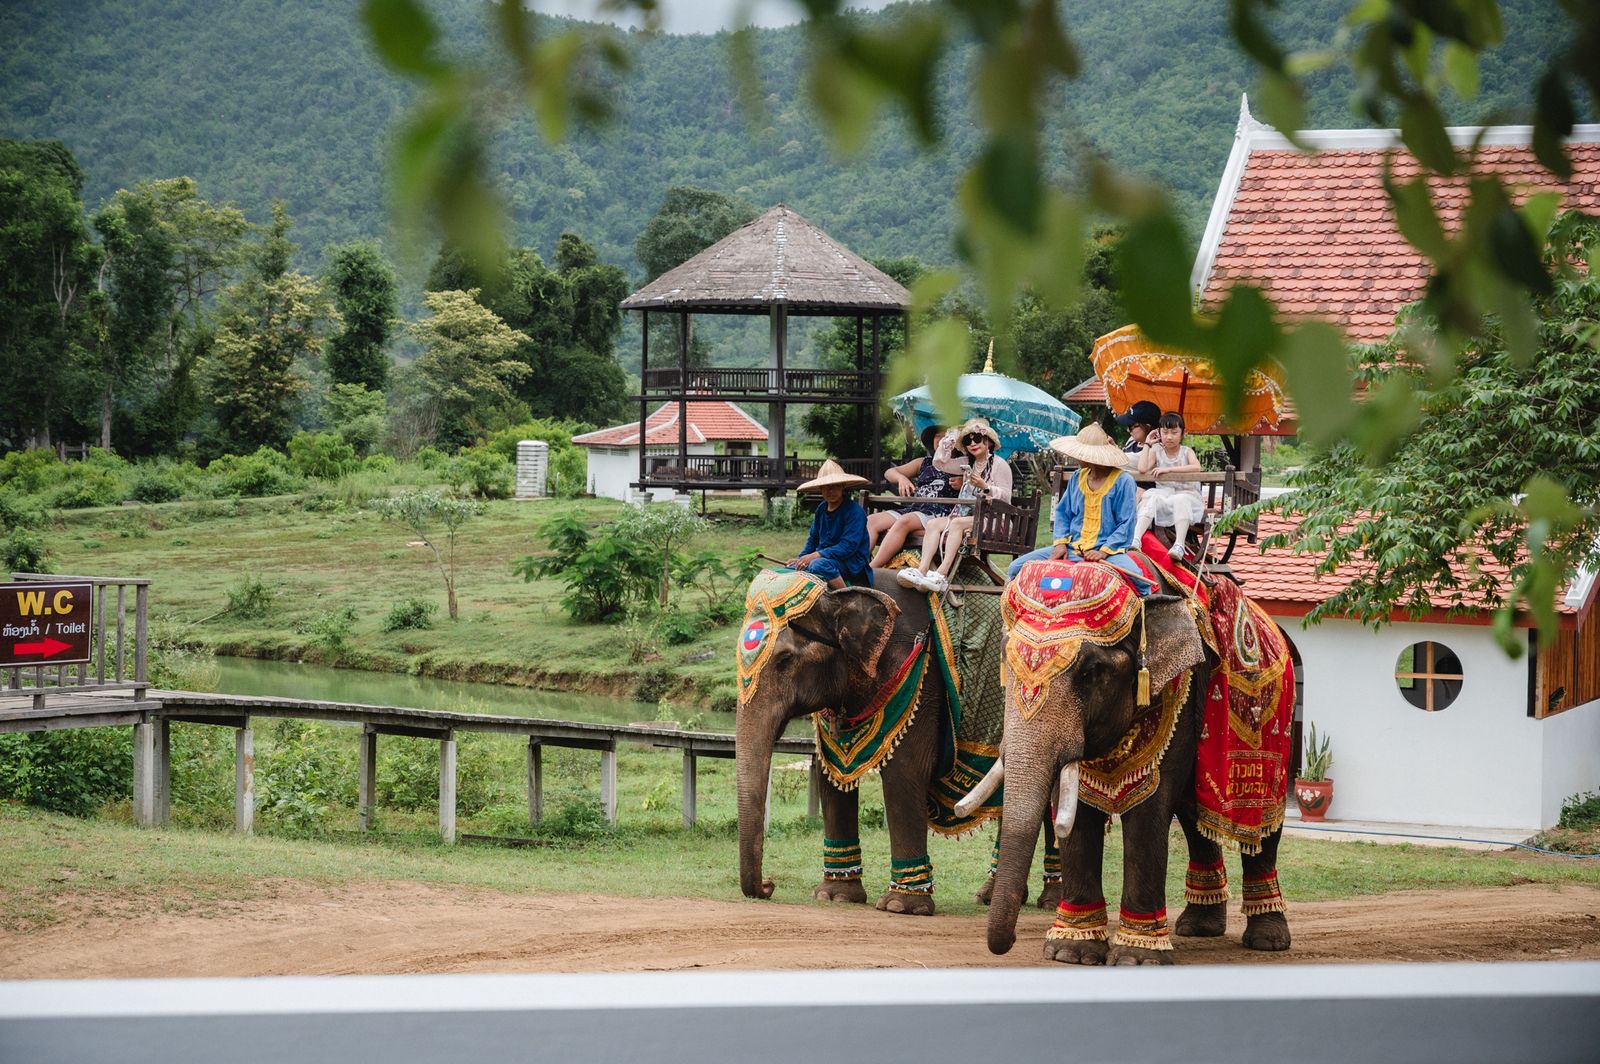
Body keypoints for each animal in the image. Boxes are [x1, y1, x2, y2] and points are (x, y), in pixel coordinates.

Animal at [735, 572, 1062, 915]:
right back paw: (990, 896)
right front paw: (835, 896)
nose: (769, 885)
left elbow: (904, 773)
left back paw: (1050, 901)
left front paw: (900, 906)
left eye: (784, 659)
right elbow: (831, 773)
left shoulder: (922, 680)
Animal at [975, 560, 1294, 965]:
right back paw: (1198, 927)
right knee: (1195, 818)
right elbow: (1077, 808)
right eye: (1006, 663)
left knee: (1264, 822)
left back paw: (1267, 939)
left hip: (1278, 722)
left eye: (1090, 673)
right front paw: (1071, 953)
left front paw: (1136, 957)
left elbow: (1149, 810)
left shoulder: (1180, 689)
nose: (1009, 941)